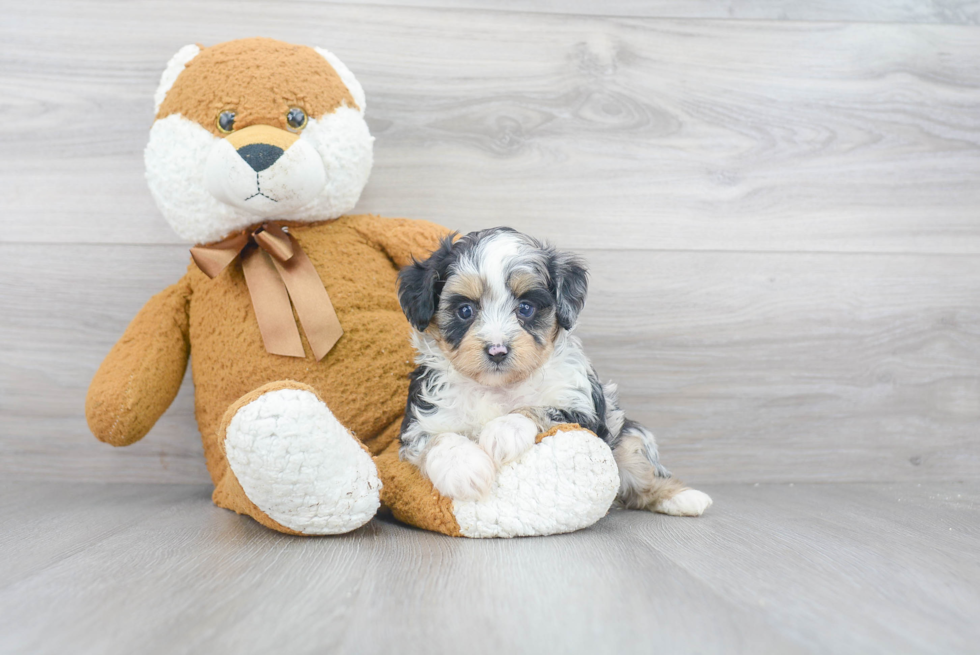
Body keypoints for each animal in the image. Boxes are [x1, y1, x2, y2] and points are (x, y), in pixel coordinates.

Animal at [398, 227, 712, 516]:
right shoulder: (421, 420)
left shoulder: (584, 413)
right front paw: (464, 469)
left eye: (525, 308)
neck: (499, 386)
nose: (497, 350)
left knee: (644, 479)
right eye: (465, 311)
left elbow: (540, 410)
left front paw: (504, 430)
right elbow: (438, 438)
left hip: (629, 438)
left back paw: (685, 498)